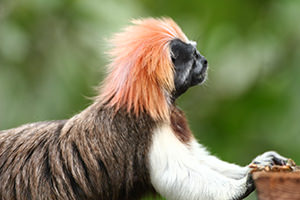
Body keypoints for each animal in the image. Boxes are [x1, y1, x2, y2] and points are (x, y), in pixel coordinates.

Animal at [0, 18, 288, 199]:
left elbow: (199, 160)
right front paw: (243, 184)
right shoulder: (141, 131)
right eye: (194, 57)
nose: (205, 61)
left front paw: (258, 164)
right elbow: (176, 177)